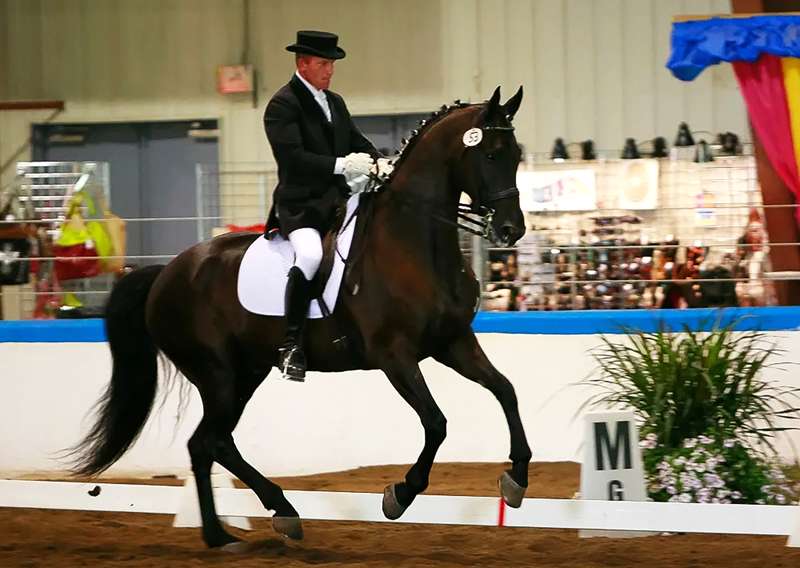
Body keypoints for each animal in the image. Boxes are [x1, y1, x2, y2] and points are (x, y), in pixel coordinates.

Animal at [73, 86, 532, 548]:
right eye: (490, 154)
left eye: (516, 153)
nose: (511, 231)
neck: (413, 246)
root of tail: (166, 272)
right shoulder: (394, 355)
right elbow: (436, 423)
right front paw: (399, 494)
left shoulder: (452, 342)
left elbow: (506, 390)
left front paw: (516, 480)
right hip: (216, 374)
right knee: (211, 442)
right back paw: (262, 518)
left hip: (246, 373)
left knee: (208, 444)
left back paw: (236, 529)